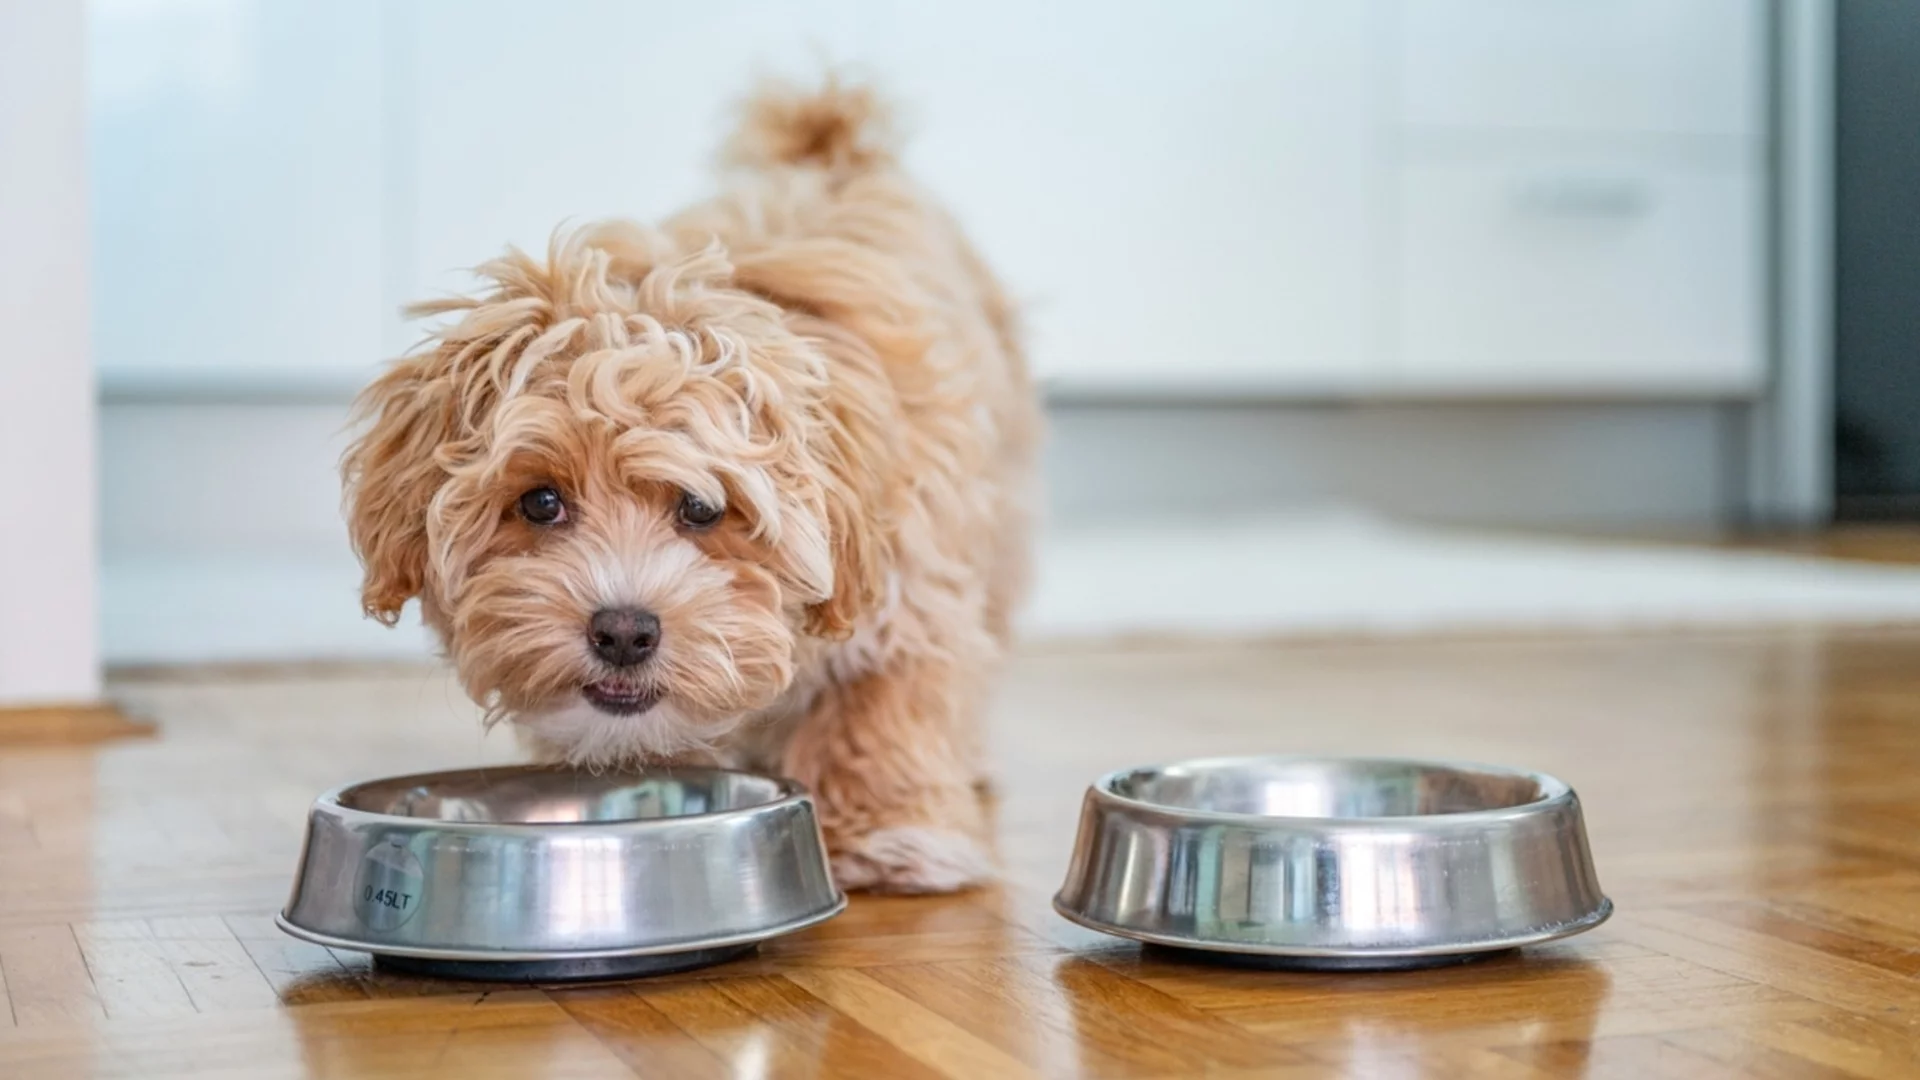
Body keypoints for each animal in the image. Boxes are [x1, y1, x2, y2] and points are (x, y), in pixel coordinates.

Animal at [341, 77, 1036, 891]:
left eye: (702, 508)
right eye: (541, 502)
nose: (623, 632)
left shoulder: (911, 586)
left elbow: (882, 701)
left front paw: (886, 833)